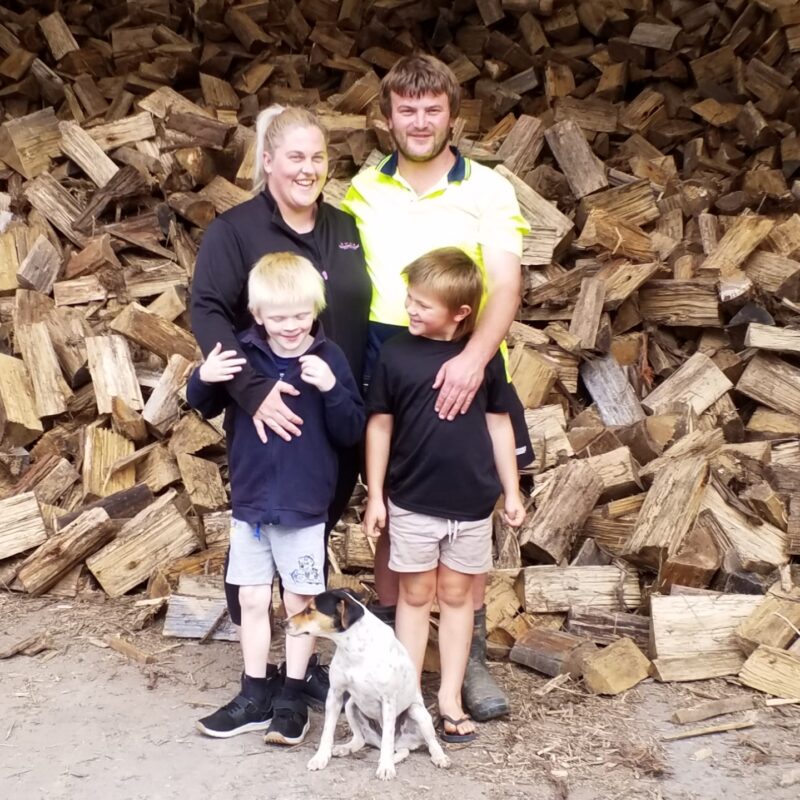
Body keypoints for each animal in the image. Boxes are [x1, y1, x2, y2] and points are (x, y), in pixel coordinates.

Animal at [286, 588, 450, 780]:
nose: (284, 623)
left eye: (310, 610)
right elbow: (327, 732)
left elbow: (388, 738)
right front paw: (320, 758)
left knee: (430, 742)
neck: (355, 650)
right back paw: (345, 748)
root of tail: (400, 744)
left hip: (418, 712)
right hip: (351, 705)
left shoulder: (388, 701)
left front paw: (386, 766)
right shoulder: (335, 694)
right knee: (360, 739)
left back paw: (439, 757)